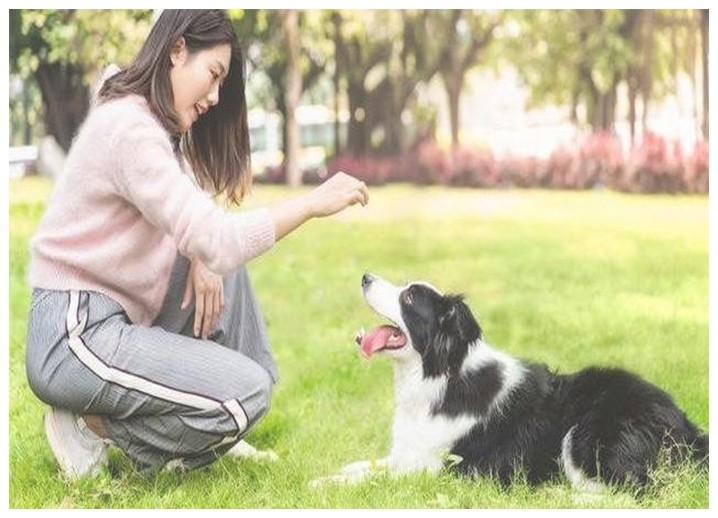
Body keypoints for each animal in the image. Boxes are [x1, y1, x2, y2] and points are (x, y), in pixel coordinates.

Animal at [314, 274, 708, 494]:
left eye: (408, 297)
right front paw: (342, 470)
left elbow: (378, 477)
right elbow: (371, 464)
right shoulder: (411, 453)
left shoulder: (442, 469)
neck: (440, 374)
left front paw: (324, 483)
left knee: (634, 491)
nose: (365, 276)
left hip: (585, 436)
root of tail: (685, 427)